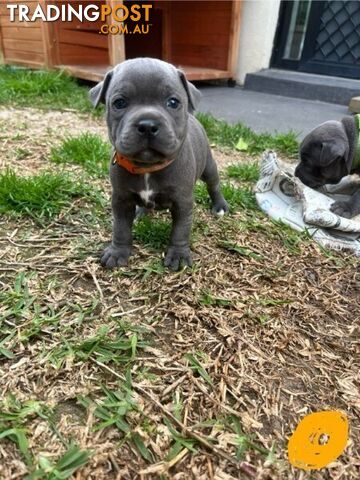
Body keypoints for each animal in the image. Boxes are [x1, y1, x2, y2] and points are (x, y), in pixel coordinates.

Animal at [89, 57, 228, 270]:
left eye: (173, 102)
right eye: (119, 103)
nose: (147, 125)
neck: (148, 167)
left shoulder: (183, 203)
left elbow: (180, 231)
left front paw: (178, 255)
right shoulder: (121, 200)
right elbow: (120, 228)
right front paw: (117, 252)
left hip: (209, 167)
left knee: (214, 185)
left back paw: (219, 206)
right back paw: (141, 212)